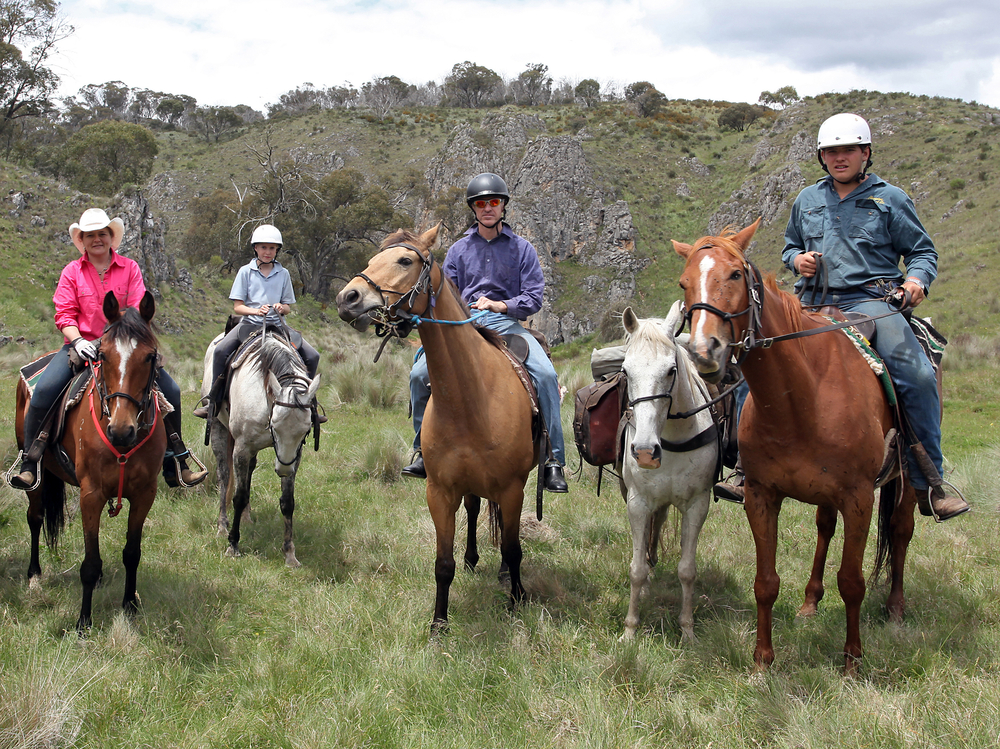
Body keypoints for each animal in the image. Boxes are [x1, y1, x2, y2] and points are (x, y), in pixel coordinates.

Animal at [11, 292, 166, 632]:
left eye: (150, 357)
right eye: (102, 356)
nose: (121, 430)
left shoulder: (145, 494)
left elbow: (132, 552)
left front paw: (129, 605)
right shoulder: (90, 494)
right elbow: (90, 563)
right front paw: (83, 622)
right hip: (34, 476)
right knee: (35, 517)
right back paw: (34, 575)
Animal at [199, 330, 316, 564]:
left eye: (306, 431)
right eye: (275, 425)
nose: (283, 469)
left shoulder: (294, 455)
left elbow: (287, 501)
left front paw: (289, 553)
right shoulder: (242, 448)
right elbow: (238, 496)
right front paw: (233, 544)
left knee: (248, 474)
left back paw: (246, 517)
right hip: (218, 428)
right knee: (224, 476)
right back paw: (222, 526)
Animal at [336, 224, 540, 632]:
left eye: (405, 260)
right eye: (372, 258)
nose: (347, 297)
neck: (470, 400)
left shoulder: (514, 488)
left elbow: (513, 549)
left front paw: (517, 599)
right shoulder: (440, 491)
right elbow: (443, 564)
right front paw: (439, 625)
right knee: (476, 510)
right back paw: (474, 558)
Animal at [616, 300, 720, 640]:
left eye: (671, 370)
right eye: (625, 371)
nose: (645, 452)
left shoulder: (697, 504)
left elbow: (687, 570)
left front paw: (687, 628)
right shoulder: (637, 502)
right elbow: (635, 570)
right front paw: (630, 629)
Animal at [676, 219, 916, 676]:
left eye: (736, 275)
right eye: (683, 283)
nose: (704, 351)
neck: (801, 397)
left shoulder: (859, 497)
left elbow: (852, 581)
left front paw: (851, 660)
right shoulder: (761, 495)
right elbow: (765, 582)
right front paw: (762, 660)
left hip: (907, 479)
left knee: (900, 529)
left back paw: (896, 607)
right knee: (824, 527)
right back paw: (810, 601)